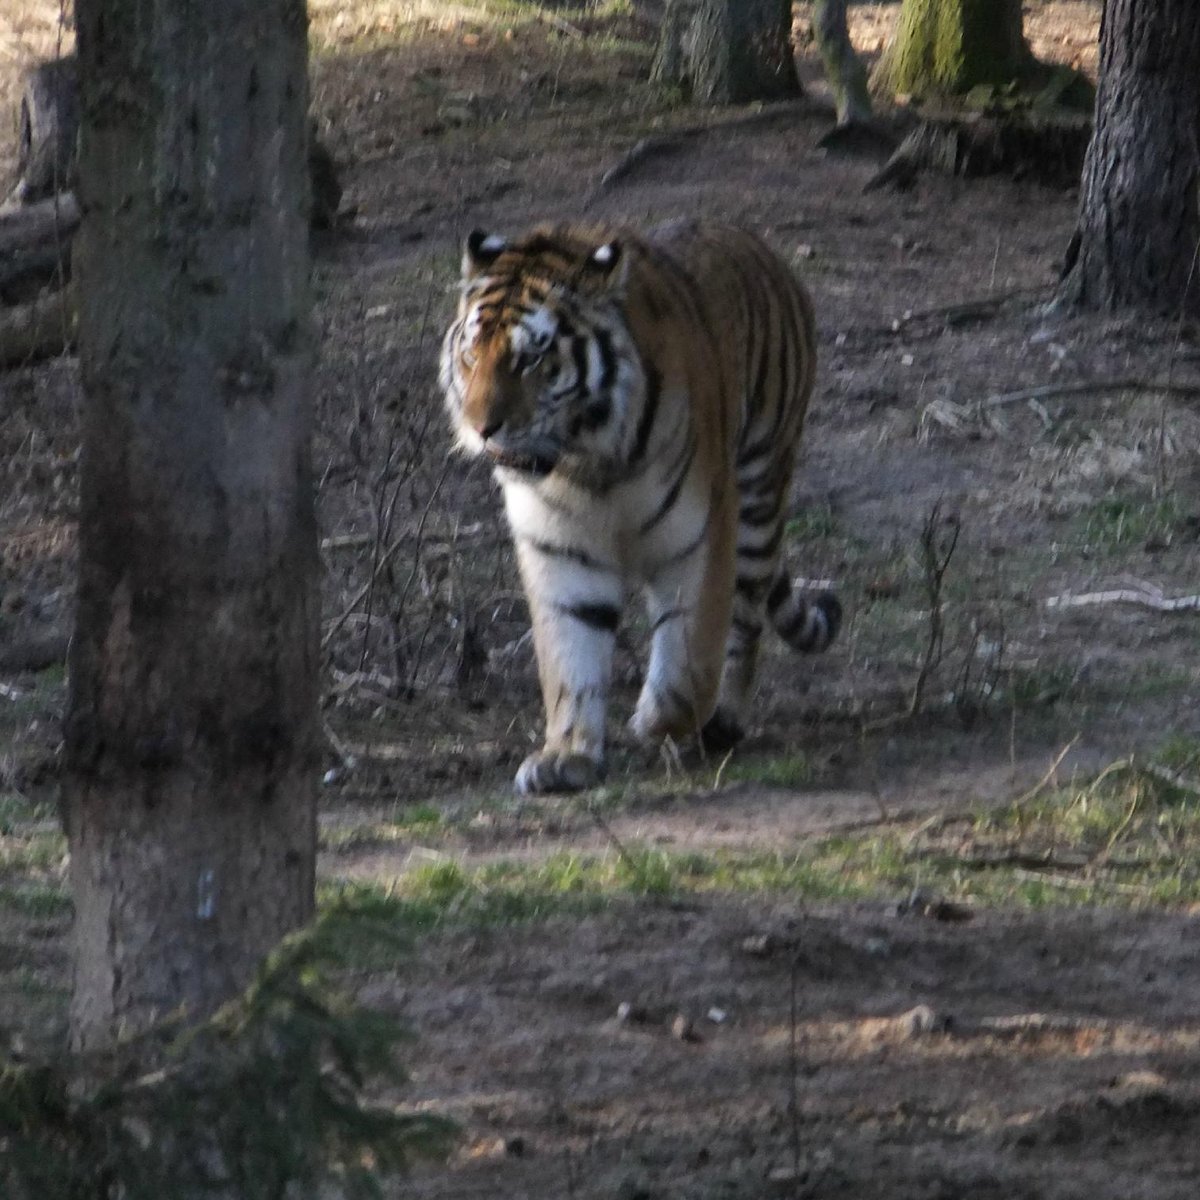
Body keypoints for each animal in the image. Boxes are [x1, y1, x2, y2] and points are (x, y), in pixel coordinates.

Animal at [441, 218, 844, 796]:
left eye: (531, 358)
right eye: (472, 354)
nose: (481, 427)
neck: (586, 461)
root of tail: (756, 242)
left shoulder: (700, 534)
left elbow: (690, 656)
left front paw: (655, 720)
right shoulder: (559, 549)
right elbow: (570, 654)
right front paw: (567, 755)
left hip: (760, 492)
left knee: (746, 618)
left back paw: (723, 722)